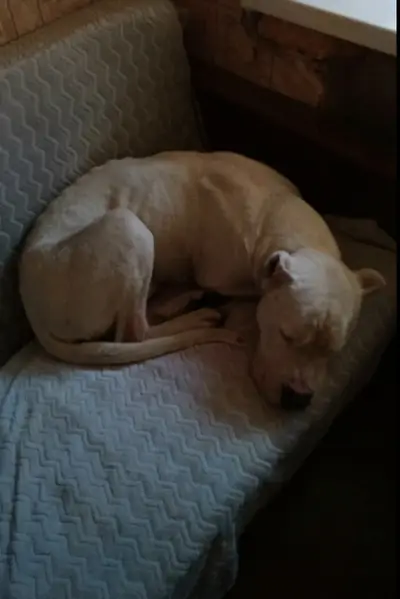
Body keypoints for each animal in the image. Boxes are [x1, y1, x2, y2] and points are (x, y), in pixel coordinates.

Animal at [20, 151, 385, 407]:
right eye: (286, 335)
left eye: (335, 349)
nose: (297, 400)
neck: (272, 211)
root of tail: (31, 304)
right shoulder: (226, 277)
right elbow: (248, 290)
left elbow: (336, 218)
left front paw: (372, 231)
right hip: (128, 225)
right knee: (136, 332)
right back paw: (193, 314)